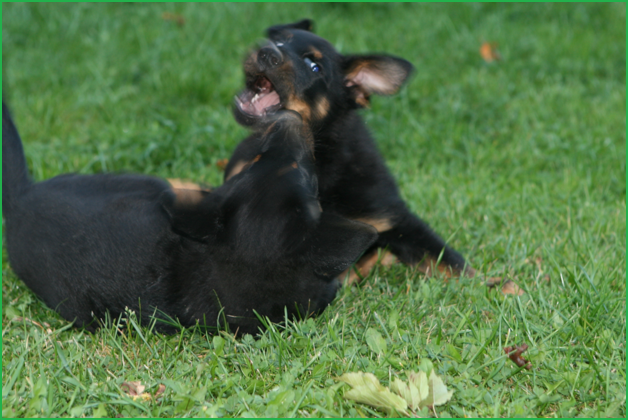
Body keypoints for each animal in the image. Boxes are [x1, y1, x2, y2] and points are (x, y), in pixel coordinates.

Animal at [228, 19, 478, 282]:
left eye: (314, 67)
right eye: (279, 40)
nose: (267, 52)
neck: (320, 153)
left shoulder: (395, 219)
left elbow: (450, 260)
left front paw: (490, 284)